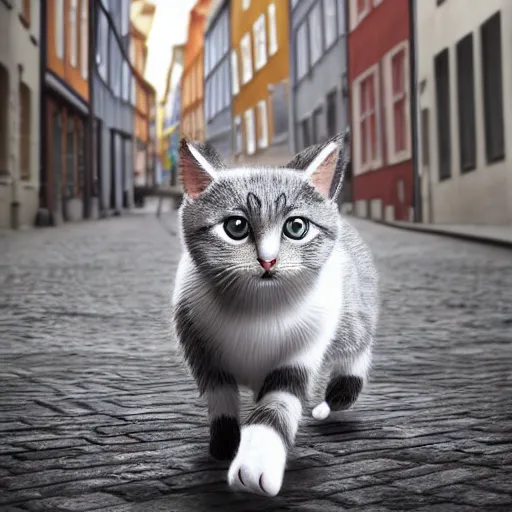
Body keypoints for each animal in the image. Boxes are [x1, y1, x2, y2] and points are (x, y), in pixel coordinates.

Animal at [172, 131, 380, 496]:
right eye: (235, 226)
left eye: (296, 227)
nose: (268, 260)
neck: (256, 309)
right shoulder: (197, 340)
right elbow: (220, 397)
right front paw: (225, 443)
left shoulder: (303, 347)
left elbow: (278, 402)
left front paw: (255, 465)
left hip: (351, 311)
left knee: (357, 346)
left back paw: (331, 401)